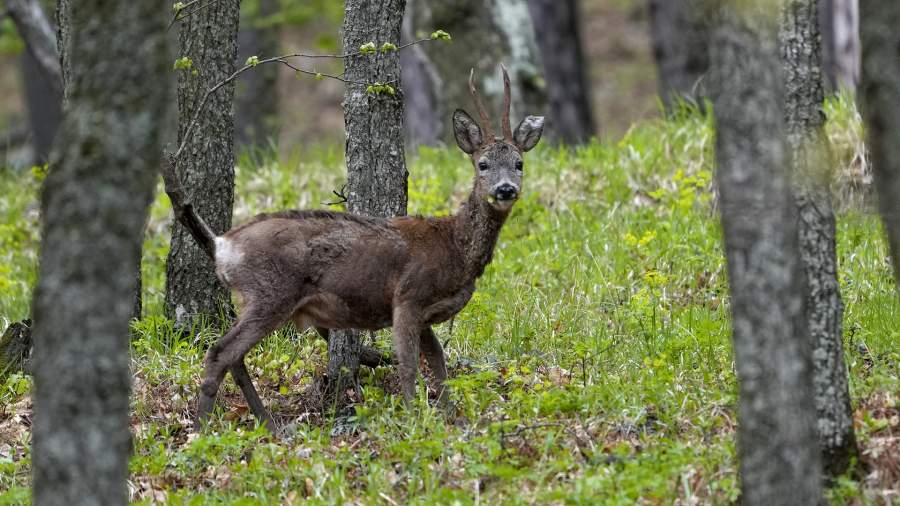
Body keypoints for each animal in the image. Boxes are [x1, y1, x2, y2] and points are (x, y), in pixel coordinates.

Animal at [163, 62, 544, 426]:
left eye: (519, 163)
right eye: (483, 164)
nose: (505, 189)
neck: (454, 247)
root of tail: (223, 245)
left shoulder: (423, 313)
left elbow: (439, 362)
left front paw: (450, 414)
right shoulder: (407, 296)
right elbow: (410, 365)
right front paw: (414, 418)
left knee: (235, 357)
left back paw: (268, 424)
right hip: (269, 293)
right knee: (220, 352)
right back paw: (203, 430)